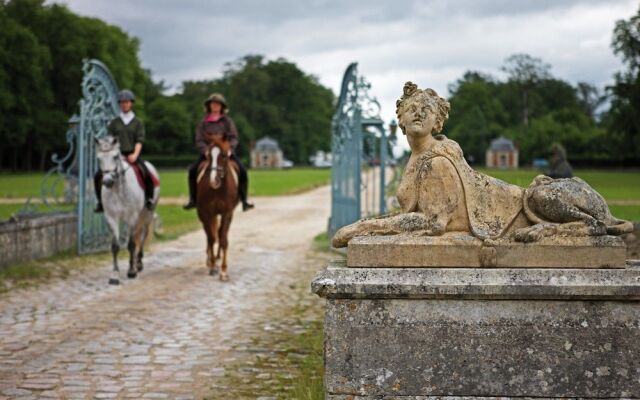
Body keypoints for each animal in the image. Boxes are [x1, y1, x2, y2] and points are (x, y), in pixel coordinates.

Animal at [95, 138, 160, 284]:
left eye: (115, 157)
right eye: (99, 158)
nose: (107, 181)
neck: (118, 190)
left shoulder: (132, 217)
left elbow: (131, 244)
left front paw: (131, 271)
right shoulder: (111, 217)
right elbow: (115, 245)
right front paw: (114, 275)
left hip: (147, 214)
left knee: (142, 235)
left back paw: (138, 263)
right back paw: (136, 263)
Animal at [195, 136, 240, 280]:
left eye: (224, 155)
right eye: (209, 156)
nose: (213, 181)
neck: (218, 190)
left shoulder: (227, 213)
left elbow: (223, 238)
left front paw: (224, 271)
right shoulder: (207, 213)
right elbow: (211, 237)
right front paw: (213, 266)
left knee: (220, 232)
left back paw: (218, 257)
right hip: (203, 215)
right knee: (210, 235)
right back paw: (210, 260)